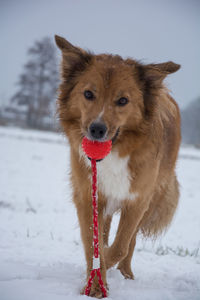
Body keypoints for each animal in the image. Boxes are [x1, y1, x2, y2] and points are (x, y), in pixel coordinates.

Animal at [54, 35, 181, 298]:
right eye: (88, 94)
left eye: (123, 101)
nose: (97, 129)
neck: (115, 153)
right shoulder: (88, 196)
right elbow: (93, 243)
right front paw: (95, 284)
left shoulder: (138, 201)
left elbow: (120, 246)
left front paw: (104, 270)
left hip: (151, 199)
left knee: (129, 243)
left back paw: (126, 274)